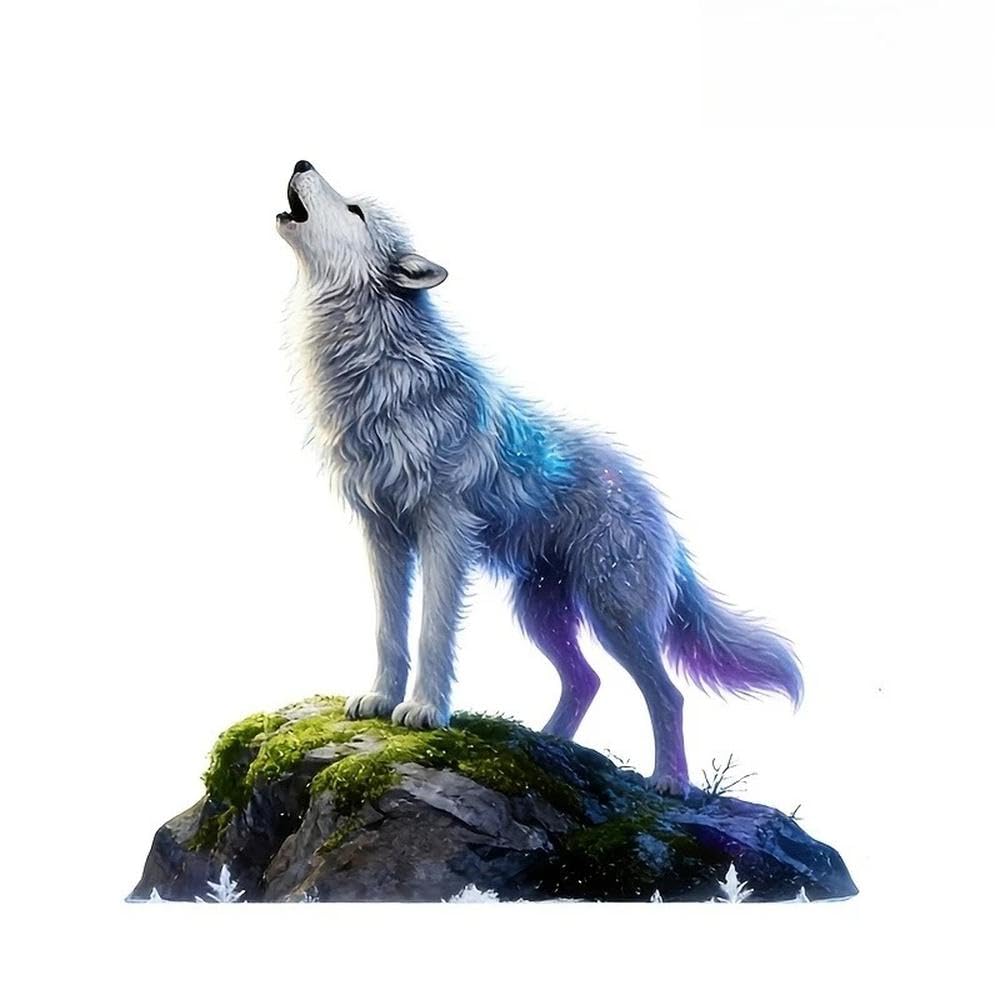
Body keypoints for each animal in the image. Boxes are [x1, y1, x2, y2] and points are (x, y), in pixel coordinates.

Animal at [277, 160, 802, 796]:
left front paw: (424, 711)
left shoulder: (445, 529)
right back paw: (546, 744)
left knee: (667, 693)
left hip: (614, 615)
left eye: (354, 210)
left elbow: (431, 630)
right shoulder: (382, 532)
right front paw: (380, 700)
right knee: (586, 681)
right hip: (541, 613)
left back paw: (668, 782)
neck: (381, 367)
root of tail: (653, 498)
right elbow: (389, 629)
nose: (302, 162)